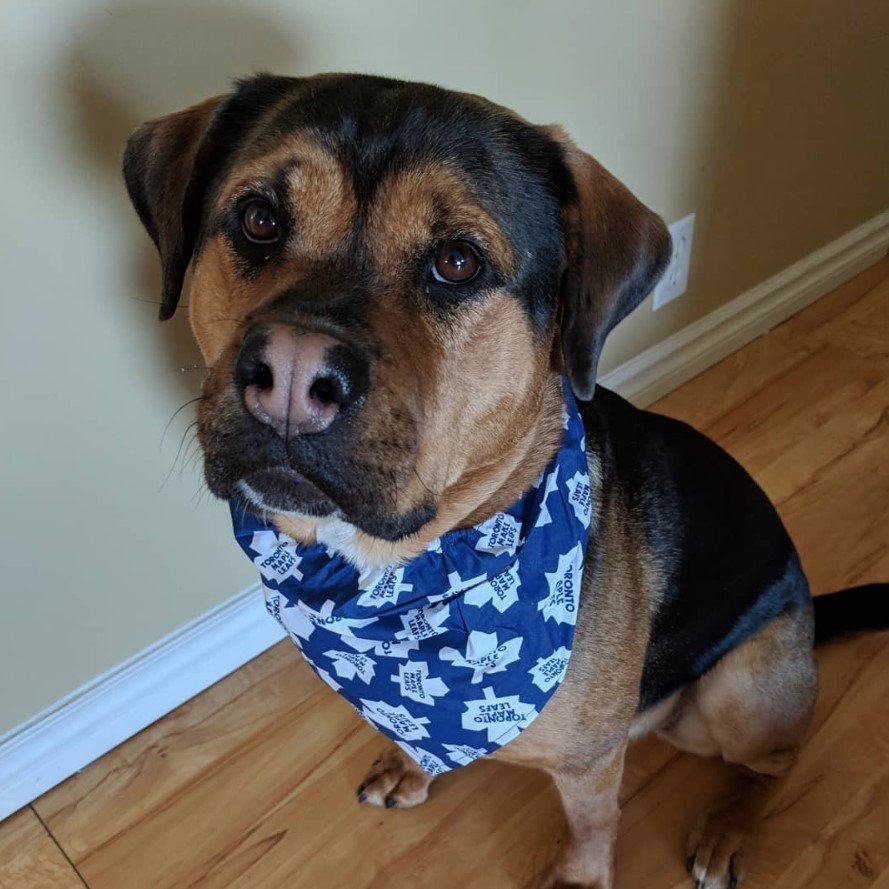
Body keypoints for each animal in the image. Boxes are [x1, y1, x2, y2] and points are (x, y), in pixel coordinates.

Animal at [119, 74, 888, 888]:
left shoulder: (589, 763)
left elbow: (589, 827)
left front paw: (577, 879)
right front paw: (409, 765)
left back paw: (729, 828)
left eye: (458, 261)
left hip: (737, 694)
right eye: (259, 219)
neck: (402, 574)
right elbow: (416, 736)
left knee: (775, 760)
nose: (292, 378)